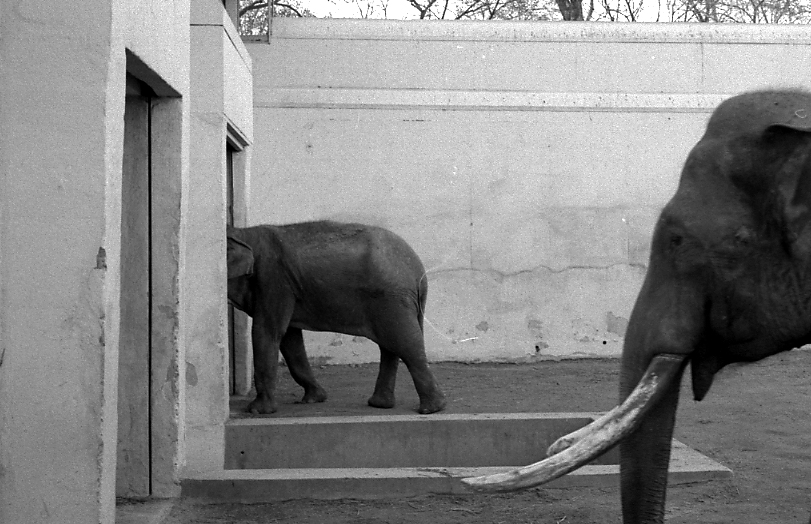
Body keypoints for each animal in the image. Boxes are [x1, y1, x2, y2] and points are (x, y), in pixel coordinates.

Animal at [226, 221, 446, 415]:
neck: (244, 233)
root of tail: (420, 273)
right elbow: (290, 339)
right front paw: (314, 398)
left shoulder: (273, 279)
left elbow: (267, 332)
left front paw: (257, 411)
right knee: (390, 346)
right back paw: (380, 404)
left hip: (392, 299)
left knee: (405, 344)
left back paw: (431, 409)